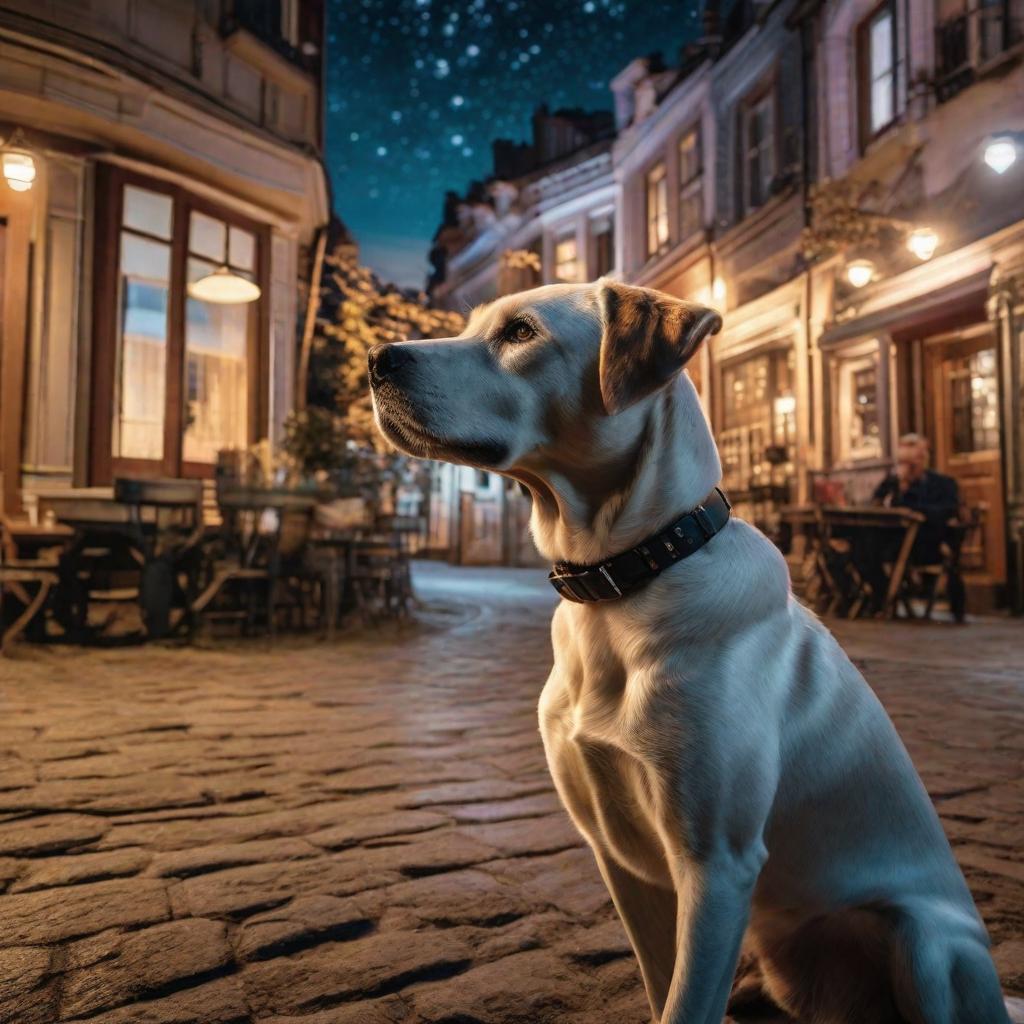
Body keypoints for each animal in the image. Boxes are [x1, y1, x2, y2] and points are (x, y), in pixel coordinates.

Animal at [370, 280, 1015, 1024]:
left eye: (521, 332)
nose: (377, 361)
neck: (624, 583)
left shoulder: (716, 865)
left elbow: (686, 1001)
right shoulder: (620, 857)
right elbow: (663, 987)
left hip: (926, 940)